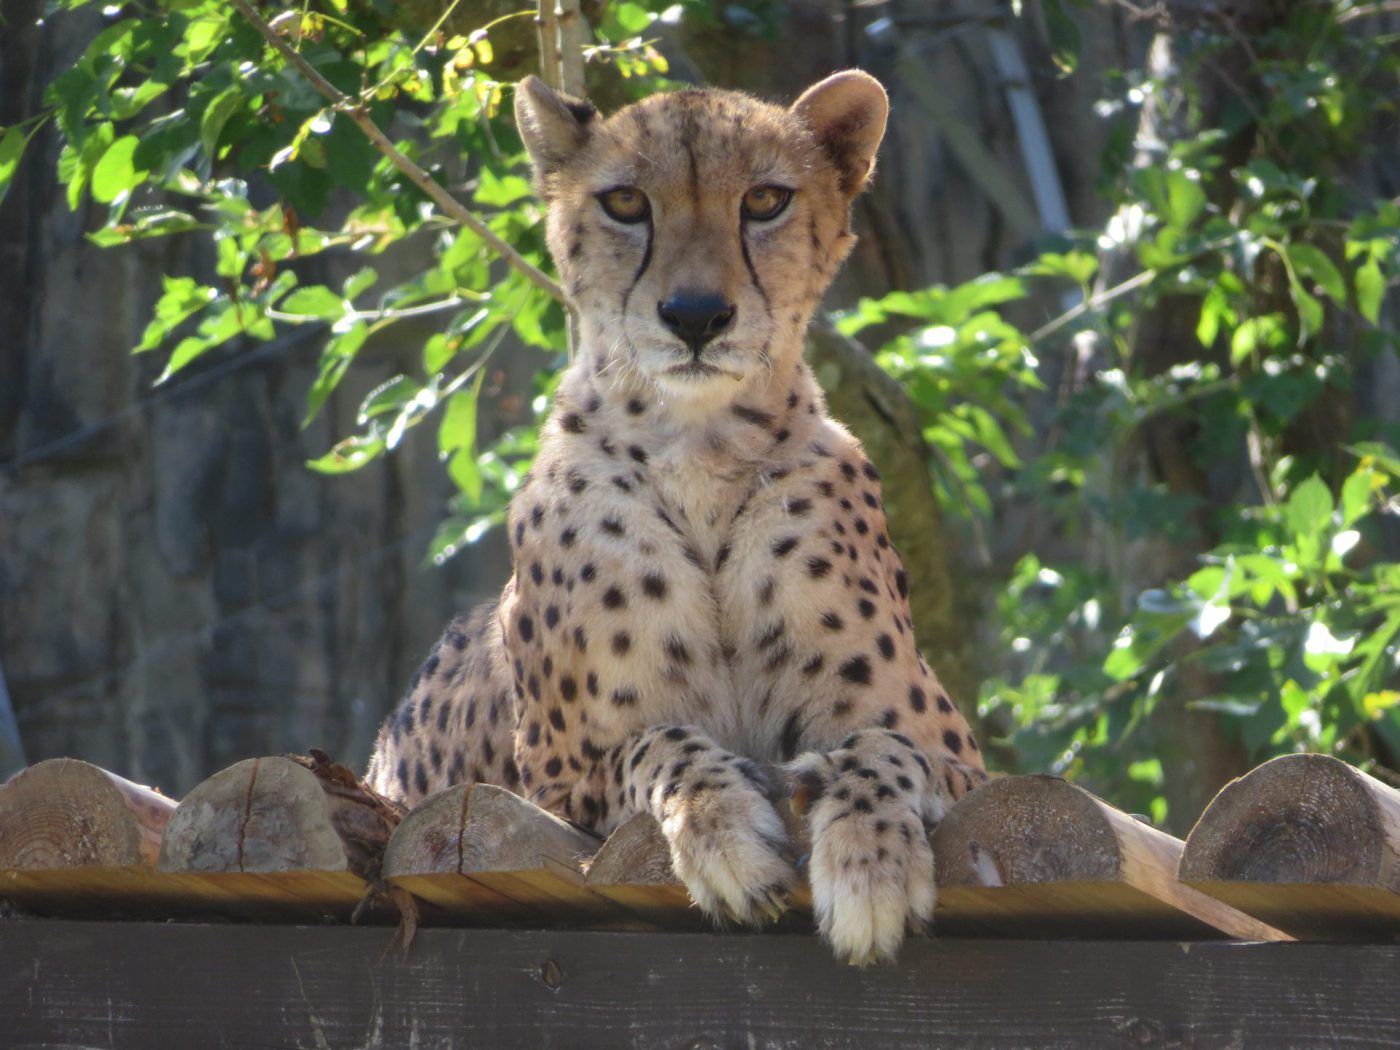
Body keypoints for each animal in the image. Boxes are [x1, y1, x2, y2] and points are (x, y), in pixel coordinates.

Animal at [369, 70, 985, 968]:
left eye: (764, 200)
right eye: (626, 202)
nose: (696, 315)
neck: (700, 447)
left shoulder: (958, 754)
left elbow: (880, 747)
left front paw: (869, 863)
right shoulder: (554, 781)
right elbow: (657, 742)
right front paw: (723, 834)